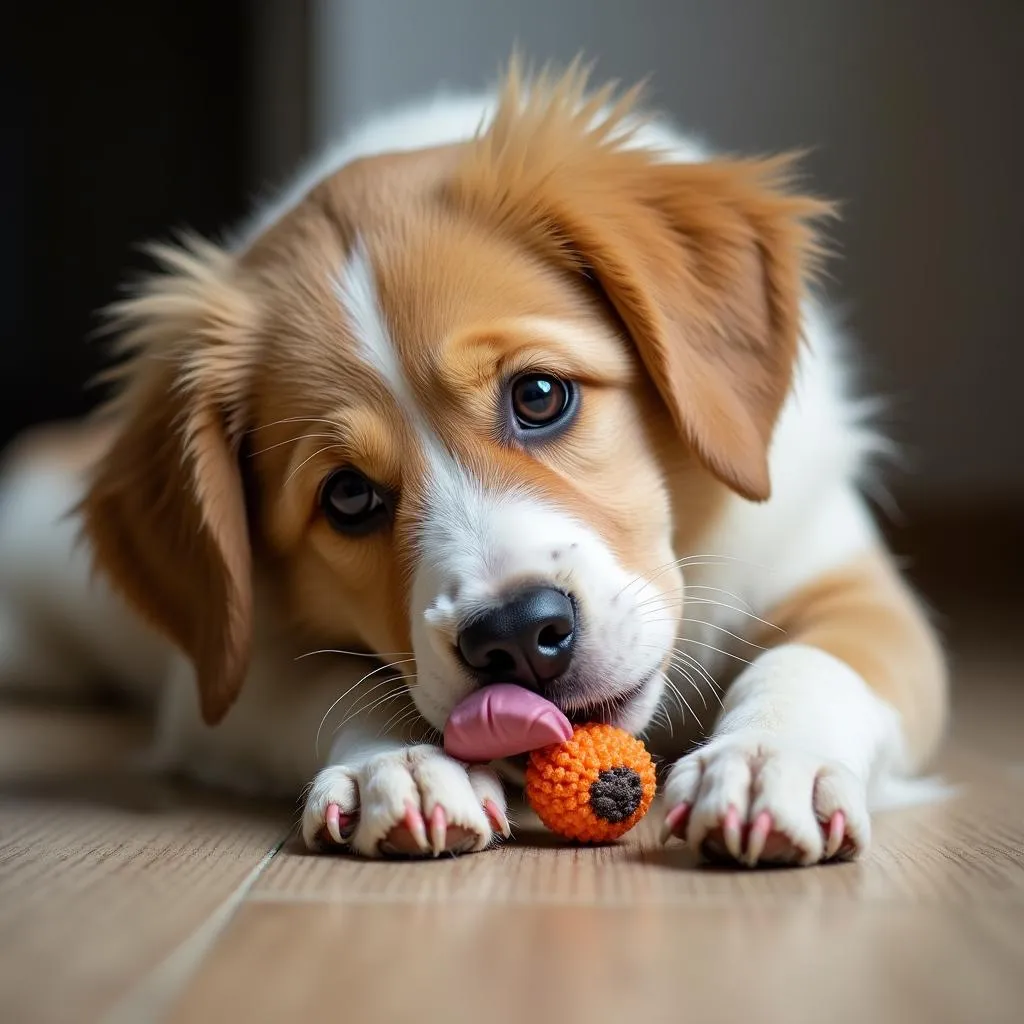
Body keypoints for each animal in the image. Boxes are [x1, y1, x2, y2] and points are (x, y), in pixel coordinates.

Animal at [0, 64, 946, 864]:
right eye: (348, 496)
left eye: (540, 395)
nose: (519, 638)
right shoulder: (230, 681)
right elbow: (342, 688)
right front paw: (403, 767)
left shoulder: (842, 576)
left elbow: (816, 662)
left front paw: (767, 760)